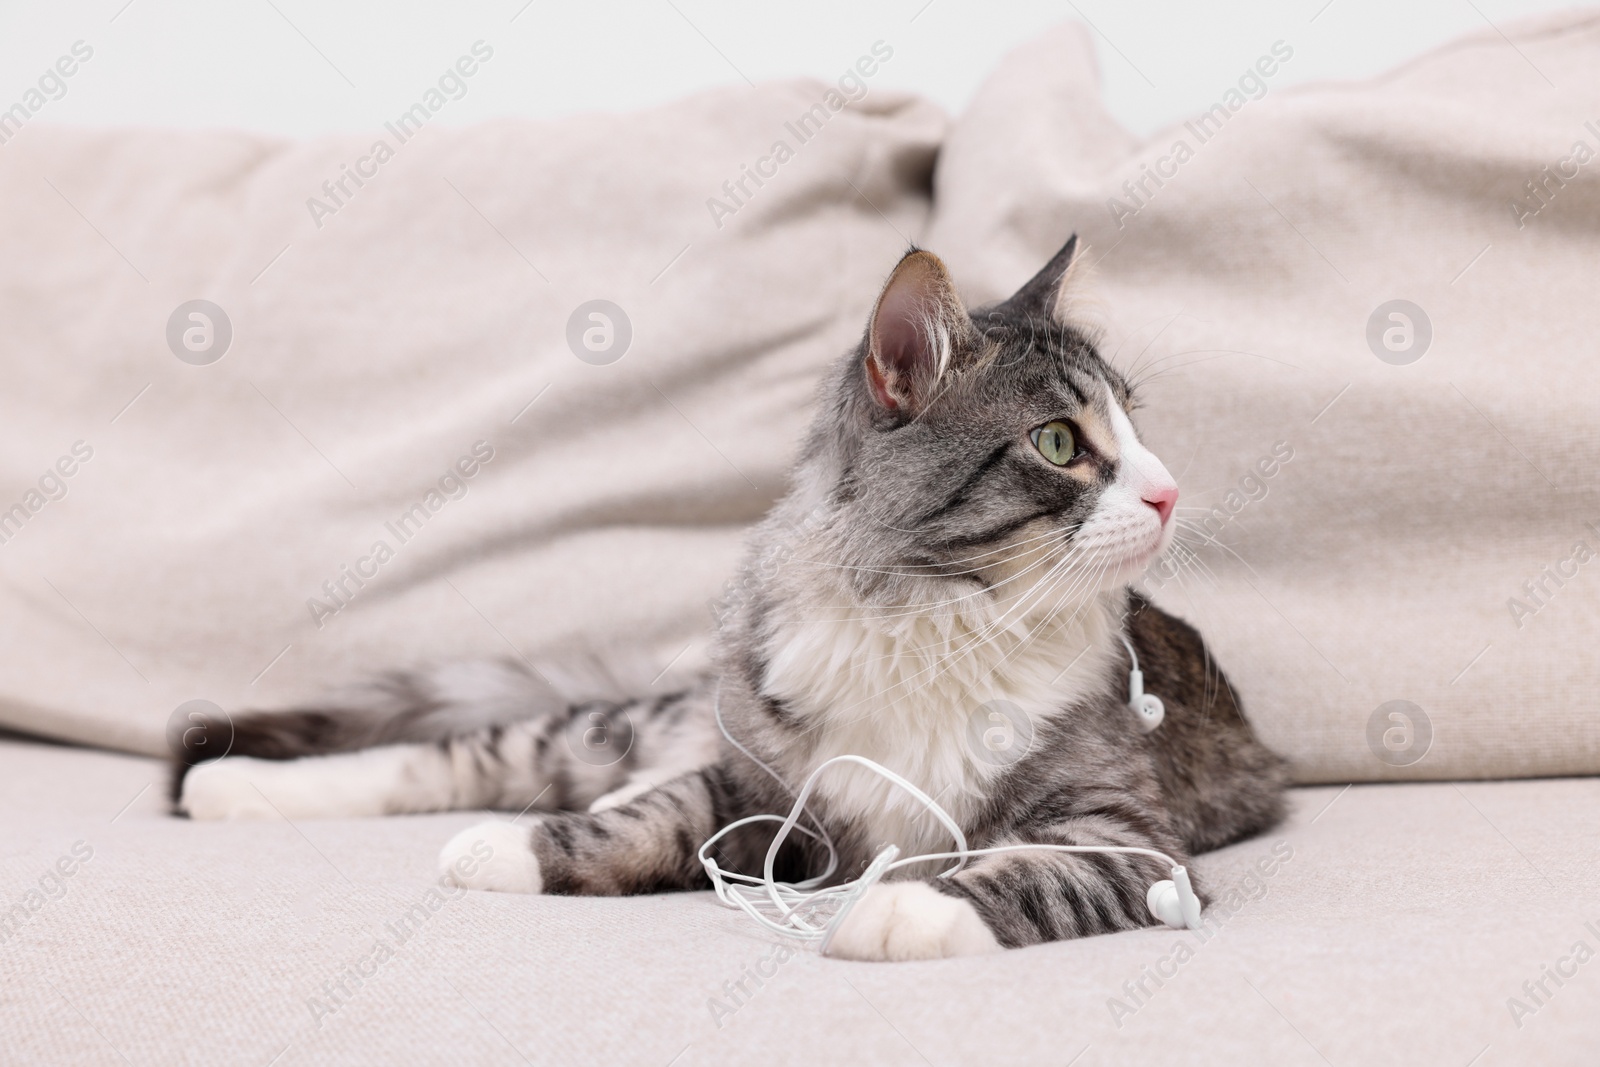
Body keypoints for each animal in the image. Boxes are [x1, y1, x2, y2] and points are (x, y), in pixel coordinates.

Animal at [175, 238, 1292, 966]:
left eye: (1138, 432)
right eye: (1061, 442)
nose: (1168, 492)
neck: (933, 618)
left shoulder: (1130, 837)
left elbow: (1020, 872)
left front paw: (895, 911)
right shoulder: (762, 786)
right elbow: (645, 819)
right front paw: (511, 846)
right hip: (641, 725)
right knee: (470, 757)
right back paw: (232, 787)